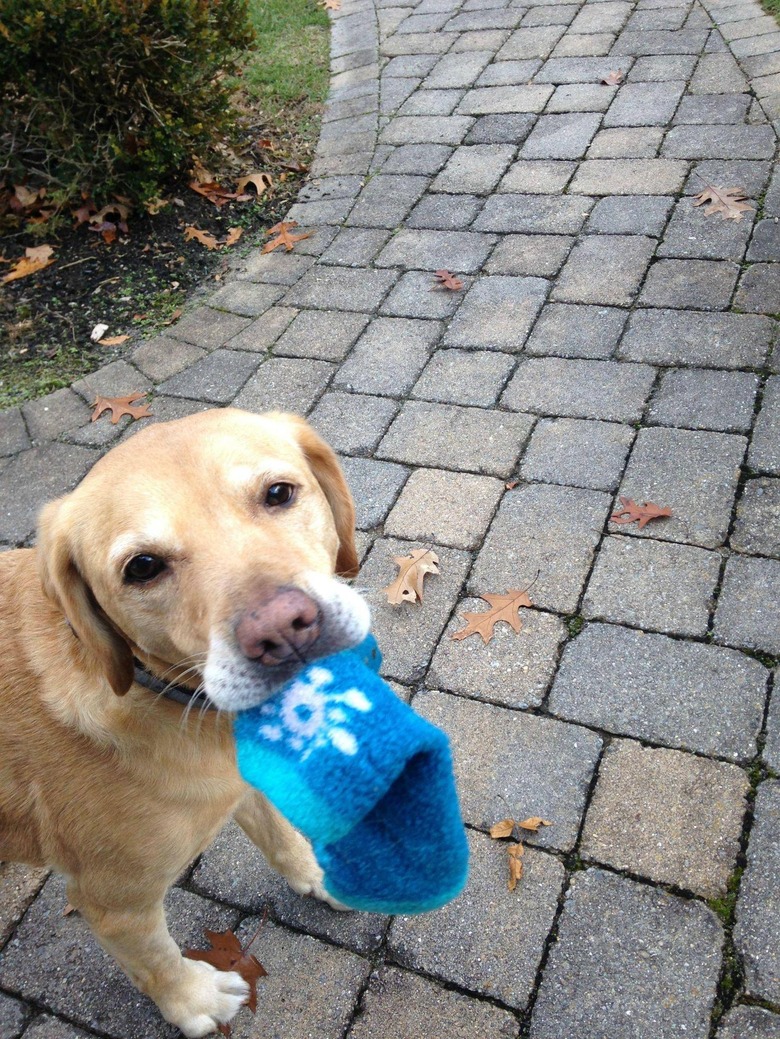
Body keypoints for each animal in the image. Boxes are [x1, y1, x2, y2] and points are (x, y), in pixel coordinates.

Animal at [0, 409, 371, 1034]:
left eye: (278, 493)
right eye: (143, 568)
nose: (282, 628)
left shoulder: (244, 786)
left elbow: (281, 838)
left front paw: (316, 874)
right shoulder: (114, 902)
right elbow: (157, 960)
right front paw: (194, 1002)